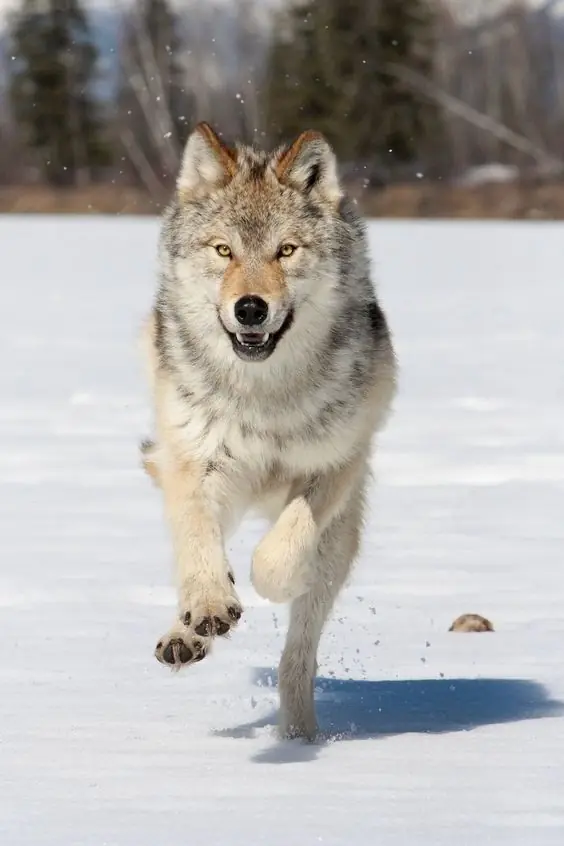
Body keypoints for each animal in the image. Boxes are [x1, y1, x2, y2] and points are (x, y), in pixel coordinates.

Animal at [140, 122, 397, 740]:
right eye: (224, 250)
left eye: (285, 250)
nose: (251, 309)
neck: (264, 397)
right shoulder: (195, 464)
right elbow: (197, 544)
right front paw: (210, 607)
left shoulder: (336, 465)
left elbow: (281, 552)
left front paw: (275, 578)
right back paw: (187, 633)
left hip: (339, 542)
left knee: (298, 656)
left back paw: (298, 736)